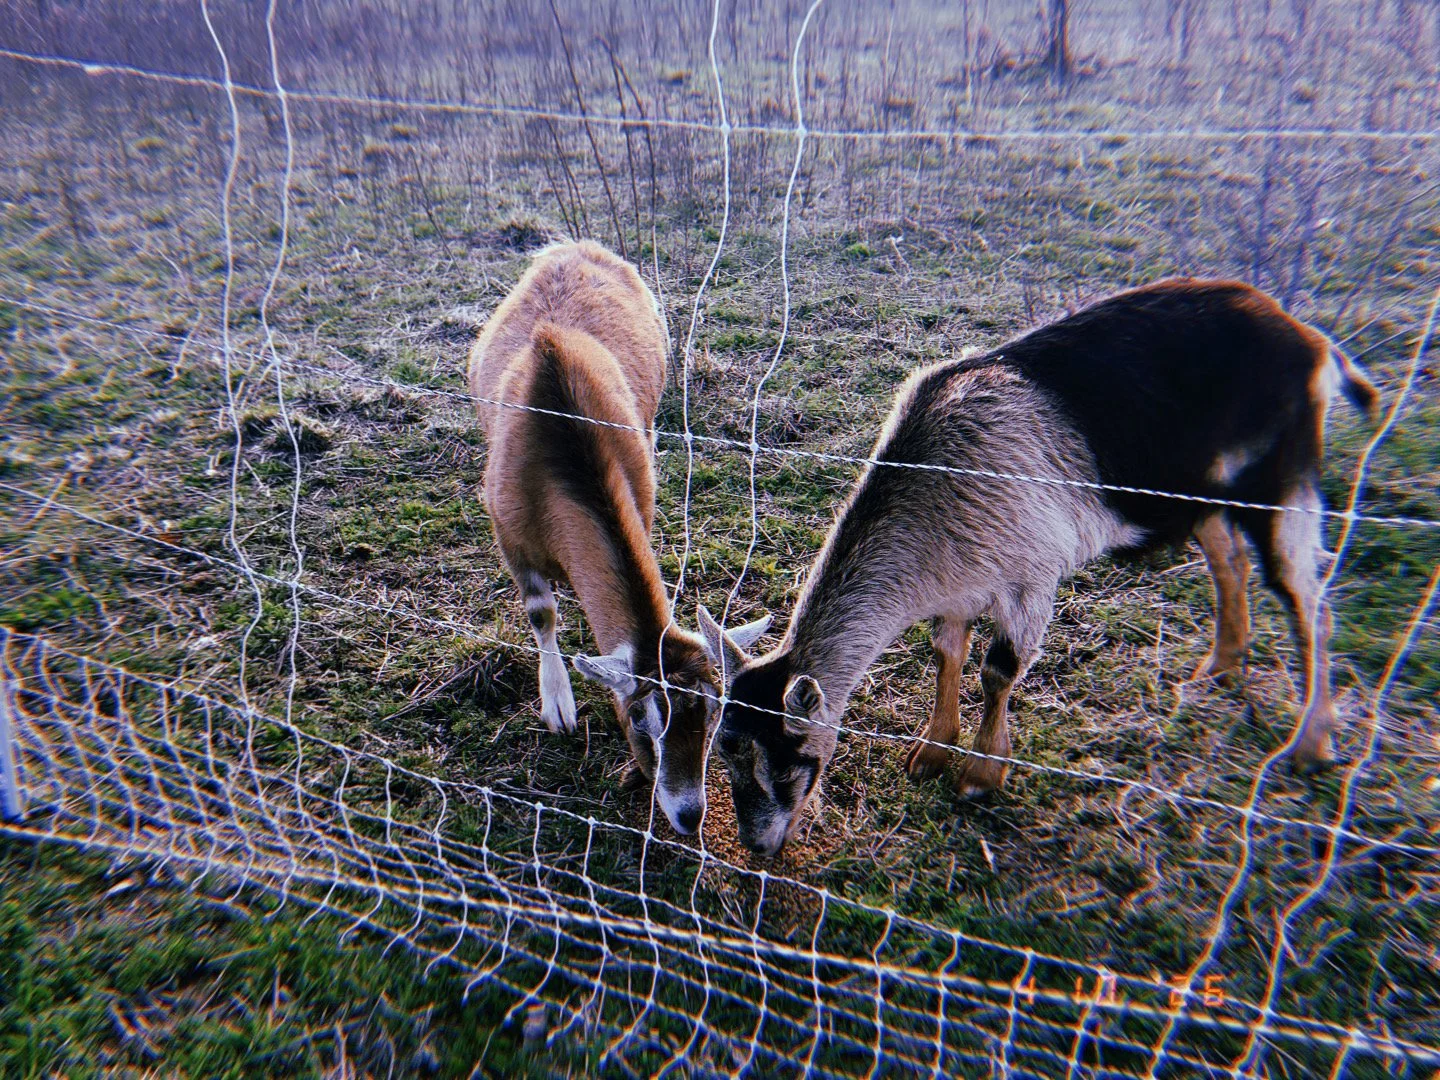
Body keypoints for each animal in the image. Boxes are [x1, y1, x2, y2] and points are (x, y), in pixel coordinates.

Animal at [469, 240, 768, 835]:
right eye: (638, 718)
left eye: (714, 712)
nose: (689, 815)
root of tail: (575, 245)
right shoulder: (509, 533)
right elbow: (541, 611)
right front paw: (558, 704)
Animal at [710, 279, 1379, 857]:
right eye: (724, 754)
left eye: (785, 766)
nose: (757, 845)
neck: (938, 489)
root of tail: (1310, 340)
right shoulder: (961, 581)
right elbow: (947, 651)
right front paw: (932, 750)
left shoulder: (1031, 574)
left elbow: (997, 669)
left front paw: (980, 775)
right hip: (1197, 490)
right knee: (1229, 561)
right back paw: (1222, 664)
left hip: (1281, 481)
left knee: (1310, 601)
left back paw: (1311, 743)